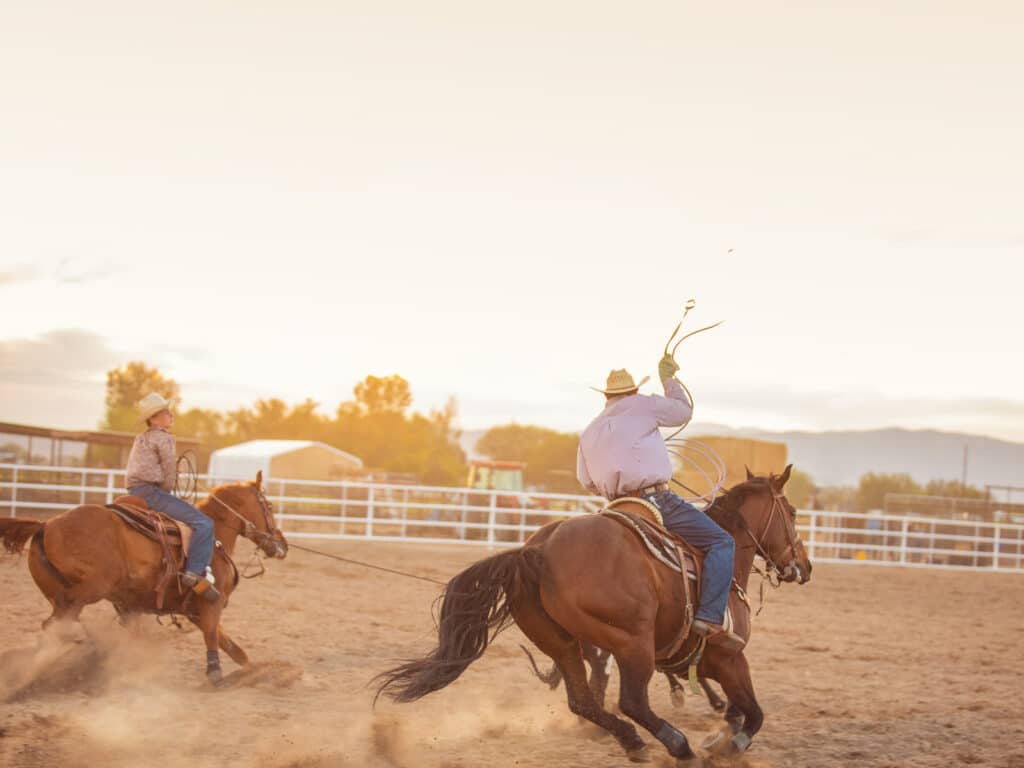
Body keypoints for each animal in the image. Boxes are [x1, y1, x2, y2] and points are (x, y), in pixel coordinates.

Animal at [0, 473, 288, 684]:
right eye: (269, 506)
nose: (282, 544)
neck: (215, 536)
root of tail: (45, 525)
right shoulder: (210, 603)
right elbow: (213, 636)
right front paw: (215, 673)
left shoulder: (191, 609)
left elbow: (233, 647)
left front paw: (260, 671)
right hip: (87, 591)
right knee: (56, 624)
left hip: (62, 595)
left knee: (54, 628)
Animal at [374, 468, 806, 765]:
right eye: (793, 512)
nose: (804, 566)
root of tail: (537, 550)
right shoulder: (730, 657)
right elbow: (753, 712)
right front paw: (728, 744)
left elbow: (738, 709)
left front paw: (719, 735)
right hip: (632, 643)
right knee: (631, 701)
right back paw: (678, 747)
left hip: (562, 644)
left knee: (583, 701)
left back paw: (633, 741)